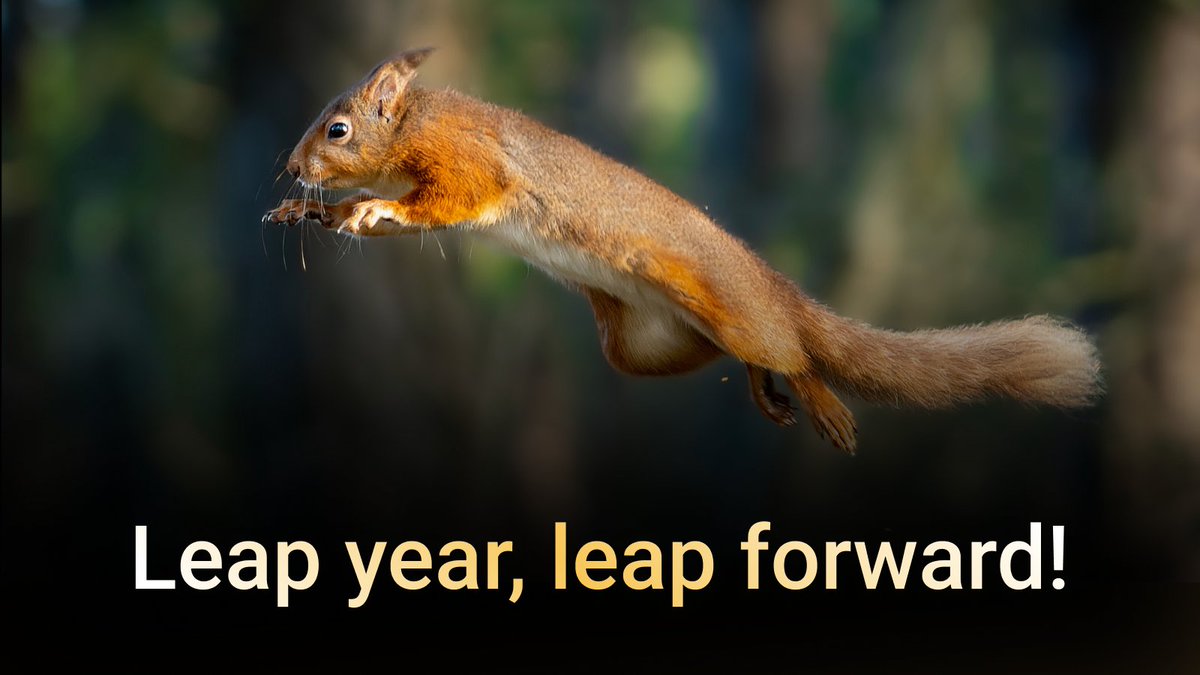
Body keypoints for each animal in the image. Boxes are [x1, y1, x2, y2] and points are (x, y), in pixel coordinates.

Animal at [266, 48, 1102, 453]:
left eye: (337, 130)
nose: (290, 167)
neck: (413, 123)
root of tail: (770, 280)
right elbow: (403, 220)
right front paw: (319, 213)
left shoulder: (468, 161)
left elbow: (450, 199)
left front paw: (366, 204)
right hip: (642, 346)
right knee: (744, 355)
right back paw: (765, 393)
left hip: (729, 305)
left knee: (793, 350)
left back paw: (821, 403)